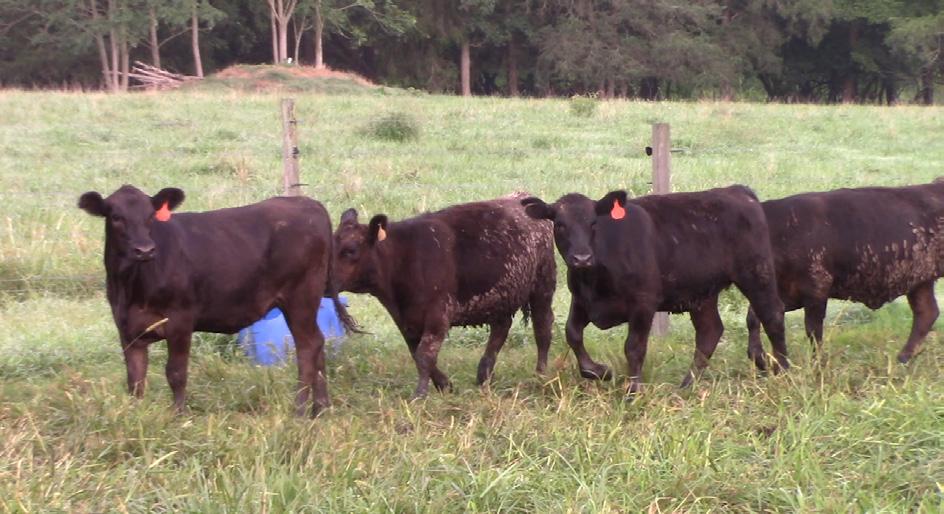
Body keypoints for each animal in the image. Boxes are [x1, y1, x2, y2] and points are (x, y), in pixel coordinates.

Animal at [77, 185, 356, 417]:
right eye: (116, 217)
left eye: (151, 216)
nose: (145, 250)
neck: (133, 286)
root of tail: (306, 203)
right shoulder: (127, 329)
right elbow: (135, 379)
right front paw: (135, 416)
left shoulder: (180, 319)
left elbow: (175, 372)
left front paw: (179, 416)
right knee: (319, 345)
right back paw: (320, 408)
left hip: (300, 298)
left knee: (308, 347)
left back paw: (298, 411)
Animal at [332, 193, 556, 399]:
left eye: (350, 250)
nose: (327, 280)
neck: (404, 258)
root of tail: (522, 196)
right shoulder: (406, 321)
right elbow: (416, 352)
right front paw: (444, 385)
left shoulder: (438, 314)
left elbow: (424, 355)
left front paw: (420, 394)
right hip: (501, 296)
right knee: (500, 329)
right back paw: (484, 374)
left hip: (542, 287)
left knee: (542, 329)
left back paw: (540, 374)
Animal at [522, 186, 788, 396]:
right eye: (560, 225)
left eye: (593, 223)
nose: (581, 258)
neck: (594, 277)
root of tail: (738, 191)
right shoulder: (581, 301)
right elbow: (573, 333)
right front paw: (600, 371)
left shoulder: (643, 302)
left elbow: (634, 347)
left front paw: (632, 392)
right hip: (702, 293)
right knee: (709, 332)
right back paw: (686, 386)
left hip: (756, 272)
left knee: (773, 315)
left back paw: (783, 370)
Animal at [746, 180, 944, 364]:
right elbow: (753, 318)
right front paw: (758, 358)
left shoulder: (816, 290)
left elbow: (813, 332)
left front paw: (817, 365)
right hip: (920, 282)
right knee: (927, 312)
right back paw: (902, 358)